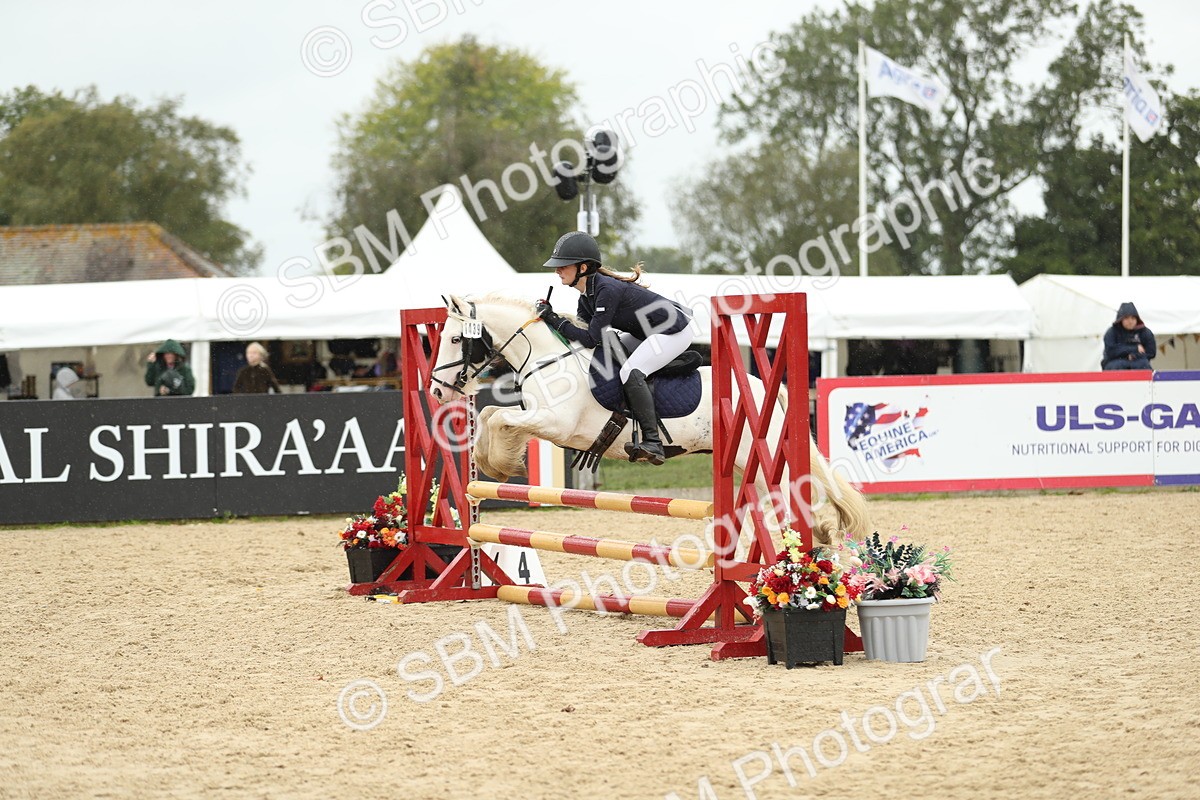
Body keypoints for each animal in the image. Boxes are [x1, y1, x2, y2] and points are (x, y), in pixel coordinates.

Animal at [428, 293, 869, 547]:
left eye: (455, 339)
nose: (436, 391)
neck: (546, 358)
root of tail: (768, 391)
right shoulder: (539, 417)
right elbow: (489, 413)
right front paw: (486, 465)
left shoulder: (555, 424)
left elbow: (499, 417)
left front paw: (500, 464)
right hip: (750, 466)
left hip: (761, 460)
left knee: (804, 498)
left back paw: (823, 549)